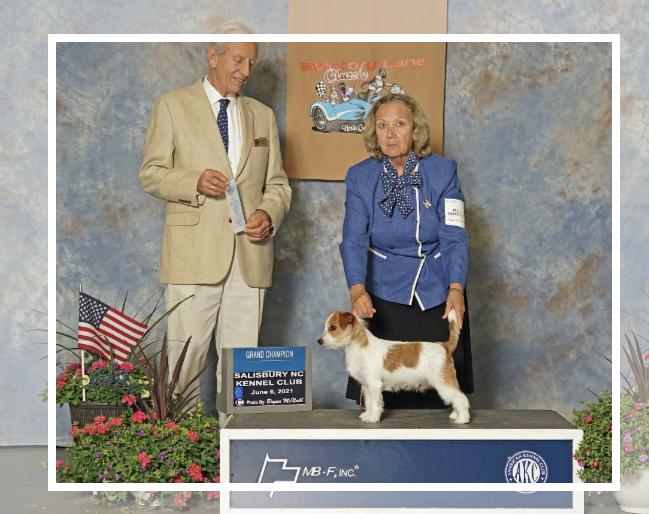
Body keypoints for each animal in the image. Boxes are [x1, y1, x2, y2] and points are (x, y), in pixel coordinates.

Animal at [317, 309, 470, 424]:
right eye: (326, 327)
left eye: (333, 327)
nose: (319, 341)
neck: (360, 345)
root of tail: (444, 346)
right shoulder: (367, 386)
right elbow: (369, 402)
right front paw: (368, 415)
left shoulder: (374, 385)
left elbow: (374, 403)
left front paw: (372, 418)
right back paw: (456, 415)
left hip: (443, 382)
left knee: (460, 398)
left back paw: (462, 418)